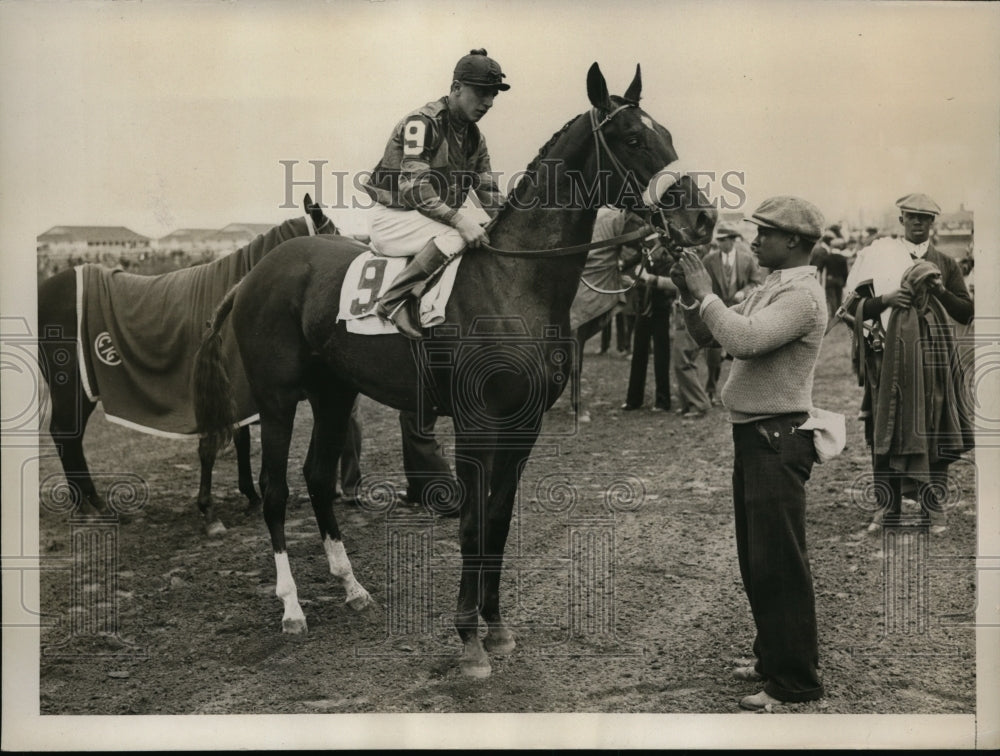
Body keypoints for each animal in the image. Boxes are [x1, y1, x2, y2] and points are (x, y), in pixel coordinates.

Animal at [38, 198, 336, 536]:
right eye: (335, 233)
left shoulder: (236, 389)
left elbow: (241, 439)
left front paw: (250, 495)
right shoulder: (217, 389)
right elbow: (210, 447)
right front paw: (210, 512)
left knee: (68, 437)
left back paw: (94, 505)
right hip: (70, 387)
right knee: (65, 434)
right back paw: (89, 508)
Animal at [195, 63, 716, 680]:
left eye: (667, 135)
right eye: (632, 138)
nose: (702, 218)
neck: (513, 284)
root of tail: (253, 274)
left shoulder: (522, 428)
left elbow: (498, 523)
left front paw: (497, 628)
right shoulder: (474, 426)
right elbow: (471, 525)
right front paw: (469, 640)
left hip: (334, 394)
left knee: (318, 477)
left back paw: (353, 588)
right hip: (277, 399)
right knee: (276, 491)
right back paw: (292, 608)